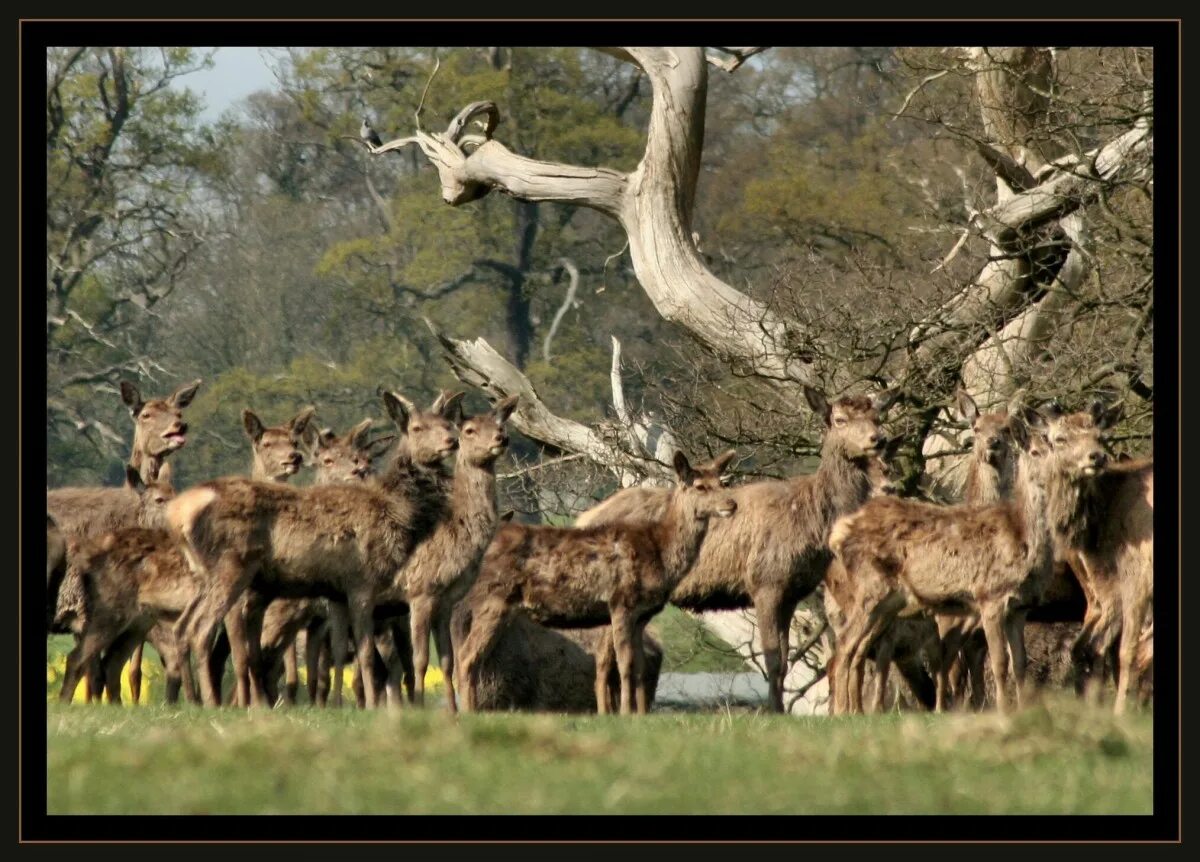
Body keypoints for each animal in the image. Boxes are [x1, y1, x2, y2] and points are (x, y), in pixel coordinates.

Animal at [171, 391, 460, 710]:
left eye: (447, 423)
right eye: (417, 428)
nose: (452, 440)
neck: (398, 511)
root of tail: (180, 513)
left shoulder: (338, 595)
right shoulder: (361, 581)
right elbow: (367, 656)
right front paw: (372, 707)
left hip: (206, 574)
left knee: (183, 627)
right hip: (231, 567)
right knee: (202, 628)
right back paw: (212, 703)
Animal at [453, 449, 739, 720]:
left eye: (722, 482)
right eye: (700, 486)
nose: (732, 503)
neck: (660, 550)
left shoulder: (641, 615)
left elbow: (639, 667)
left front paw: (639, 715)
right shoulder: (622, 602)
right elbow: (624, 664)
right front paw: (625, 713)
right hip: (493, 600)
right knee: (466, 657)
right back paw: (468, 712)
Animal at [576, 388, 897, 715]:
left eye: (876, 416)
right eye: (840, 419)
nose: (878, 439)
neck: (811, 521)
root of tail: (583, 519)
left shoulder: (791, 593)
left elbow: (784, 658)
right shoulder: (765, 581)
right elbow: (774, 659)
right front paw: (775, 711)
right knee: (605, 660)